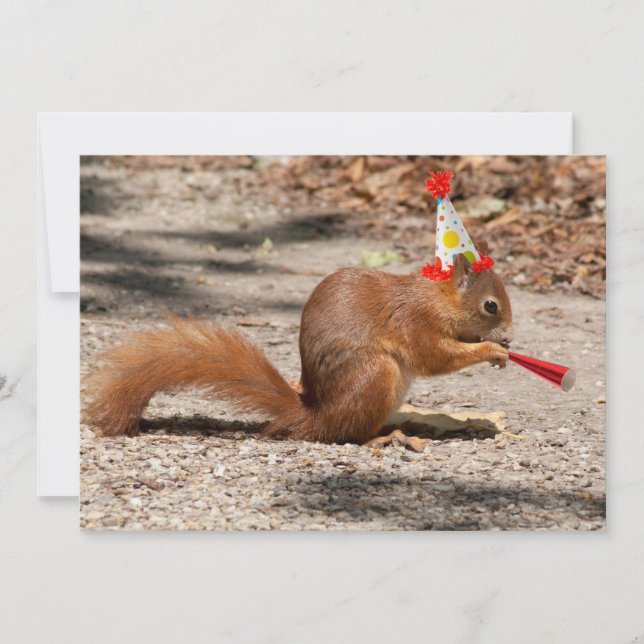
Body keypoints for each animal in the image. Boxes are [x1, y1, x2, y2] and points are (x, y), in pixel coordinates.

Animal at [85, 239, 513, 447]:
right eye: (491, 305)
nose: (509, 336)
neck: (439, 296)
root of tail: (316, 415)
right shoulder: (416, 321)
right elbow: (434, 357)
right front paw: (493, 351)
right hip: (377, 375)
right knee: (349, 435)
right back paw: (388, 437)